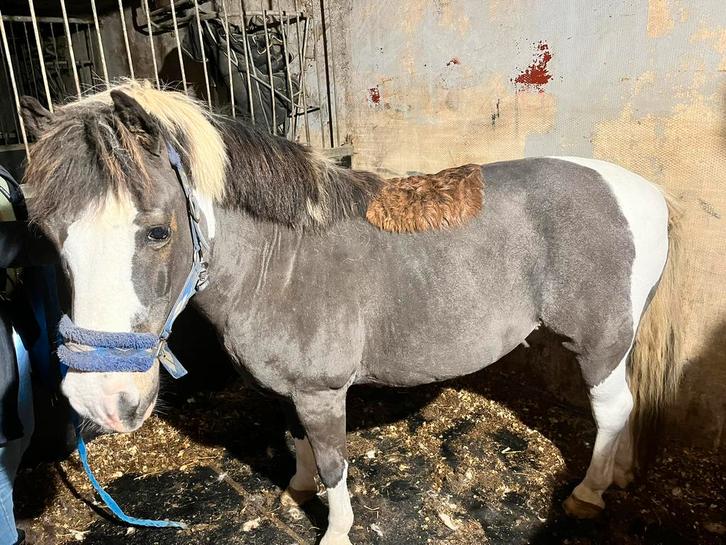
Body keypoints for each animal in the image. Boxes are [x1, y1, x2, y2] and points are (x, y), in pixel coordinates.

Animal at [20, 81, 684, 545]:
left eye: (157, 232)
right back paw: (619, 476)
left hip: (597, 343)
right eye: (50, 237)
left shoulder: (322, 392)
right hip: (618, 343)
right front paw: (295, 489)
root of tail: (643, 192)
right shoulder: (286, 391)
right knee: (623, 408)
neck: (279, 261)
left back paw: (589, 493)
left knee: (610, 410)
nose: (99, 400)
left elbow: (335, 462)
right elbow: (298, 442)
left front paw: (335, 529)